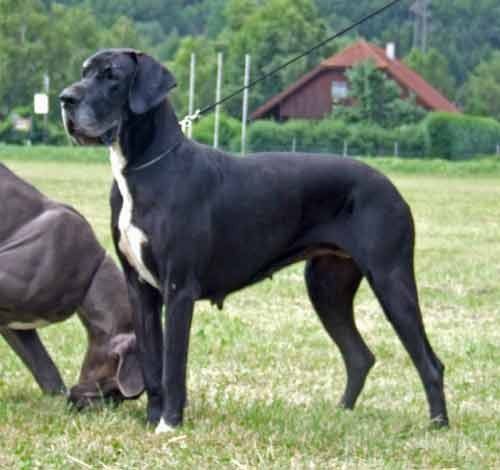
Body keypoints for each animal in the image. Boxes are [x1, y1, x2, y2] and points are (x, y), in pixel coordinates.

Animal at [60, 48, 448, 432]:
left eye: (112, 75)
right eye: (84, 71)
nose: (65, 99)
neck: (144, 168)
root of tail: (392, 187)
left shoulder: (178, 288)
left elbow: (172, 367)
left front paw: (169, 425)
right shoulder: (140, 288)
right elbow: (153, 366)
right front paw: (152, 421)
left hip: (390, 279)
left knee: (429, 362)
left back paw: (438, 425)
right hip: (326, 287)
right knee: (359, 356)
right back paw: (342, 414)